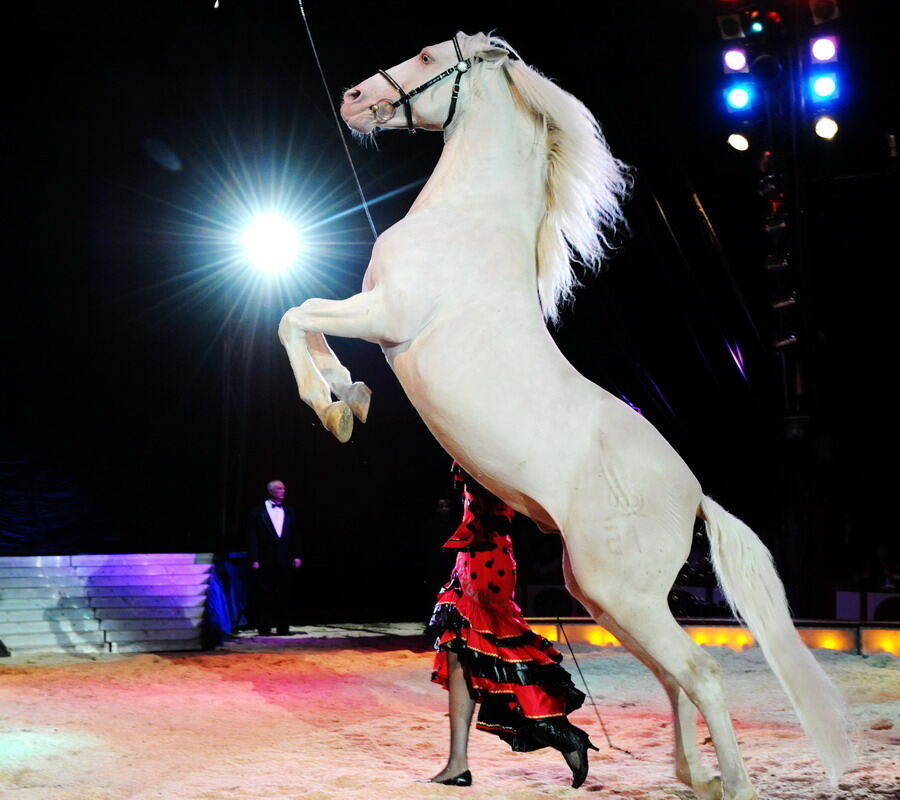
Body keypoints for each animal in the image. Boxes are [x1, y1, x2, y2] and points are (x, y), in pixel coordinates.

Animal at [280, 31, 852, 800]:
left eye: (429, 57)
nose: (353, 98)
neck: (467, 224)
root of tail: (696, 494)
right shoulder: (372, 312)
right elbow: (311, 323)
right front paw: (351, 398)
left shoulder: (387, 316)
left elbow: (296, 314)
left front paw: (333, 405)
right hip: (606, 598)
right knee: (674, 675)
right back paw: (690, 774)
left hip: (620, 594)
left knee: (698, 670)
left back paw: (729, 783)